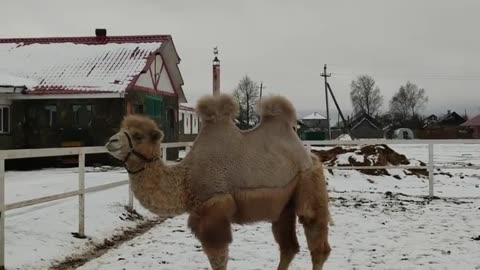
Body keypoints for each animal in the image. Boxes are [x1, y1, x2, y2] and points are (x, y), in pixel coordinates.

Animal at [104, 94, 330, 268]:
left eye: (138, 136)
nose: (111, 141)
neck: (185, 179)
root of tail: (309, 156)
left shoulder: (214, 209)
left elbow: (218, 261)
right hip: (284, 204)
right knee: (289, 247)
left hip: (309, 184)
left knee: (318, 243)